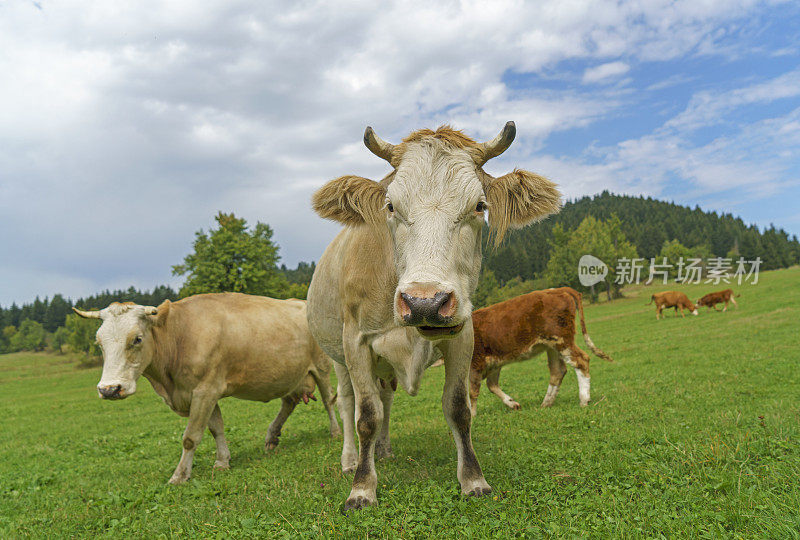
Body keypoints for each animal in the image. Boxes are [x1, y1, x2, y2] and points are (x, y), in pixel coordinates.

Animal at [71, 296, 340, 486]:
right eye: (98, 342)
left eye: (137, 339)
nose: (109, 389)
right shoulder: (203, 394)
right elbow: (216, 428)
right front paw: (222, 461)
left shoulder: (205, 391)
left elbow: (191, 437)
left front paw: (180, 475)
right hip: (290, 374)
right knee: (289, 403)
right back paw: (272, 436)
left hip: (322, 367)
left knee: (329, 400)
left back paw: (336, 432)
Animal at [306, 122, 564, 510]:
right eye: (390, 206)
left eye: (479, 206)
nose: (424, 303)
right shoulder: (356, 342)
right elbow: (366, 415)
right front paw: (361, 488)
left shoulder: (463, 334)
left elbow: (458, 408)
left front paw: (473, 480)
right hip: (336, 355)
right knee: (349, 400)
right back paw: (351, 459)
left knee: (386, 397)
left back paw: (383, 449)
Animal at [468, 286, 612, 414]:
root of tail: (557, 289)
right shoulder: (494, 362)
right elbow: (492, 385)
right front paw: (513, 404)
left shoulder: (475, 363)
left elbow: (473, 392)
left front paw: (472, 416)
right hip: (552, 346)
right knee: (558, 371)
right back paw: (546, 403)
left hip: (562, 340)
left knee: (581, 361)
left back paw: (583, 400)